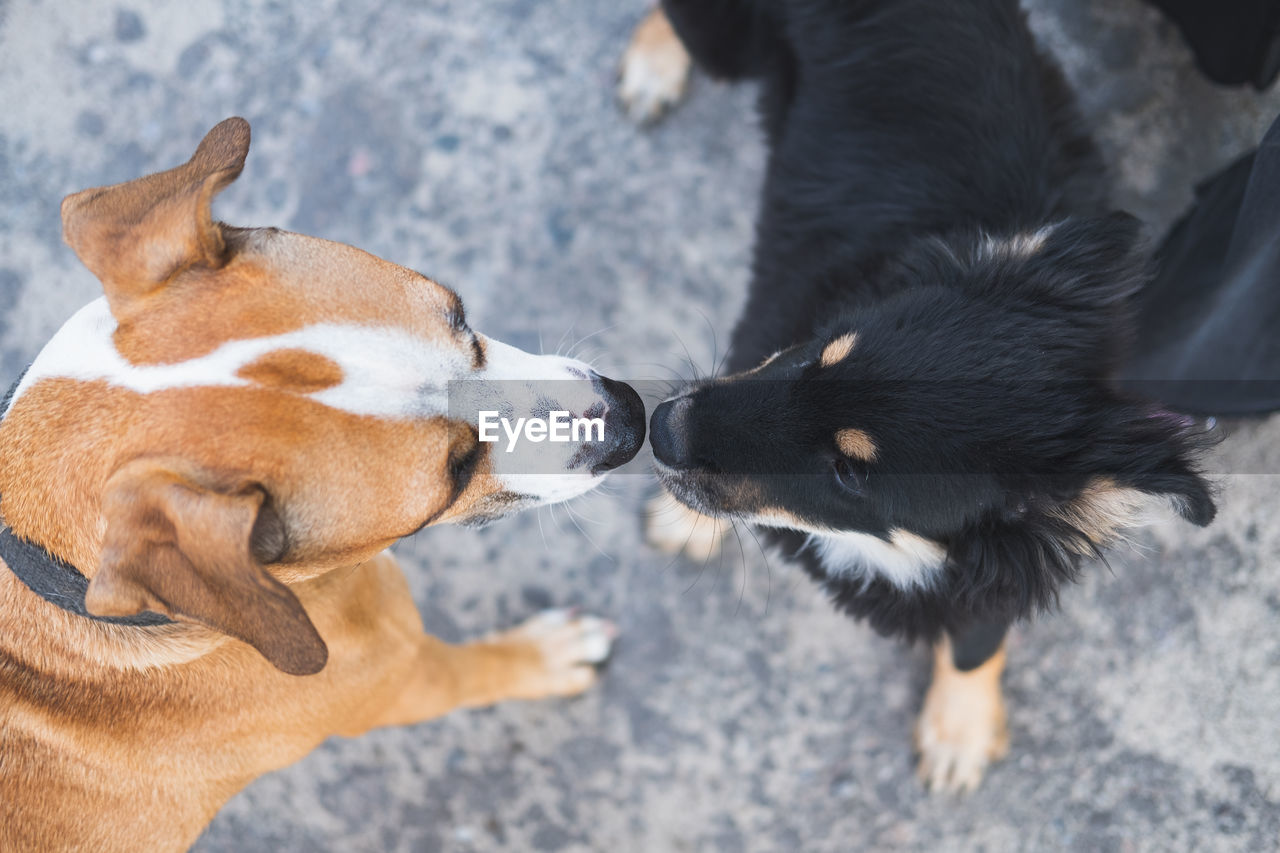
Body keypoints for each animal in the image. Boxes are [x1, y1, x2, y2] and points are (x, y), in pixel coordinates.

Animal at [0, 116, 645, 845]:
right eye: (453, 475)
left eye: (461, 318)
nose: (631, 418)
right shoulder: (407, 678)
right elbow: (479, 670)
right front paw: (547, 656)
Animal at [624, 0, 1213, 788]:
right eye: (821, 353)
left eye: (850, 472)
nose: (661, 427)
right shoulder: (762, 335)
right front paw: (684, 522)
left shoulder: (993, 563)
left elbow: (974, 638)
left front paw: (959, 727)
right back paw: (654, 63)